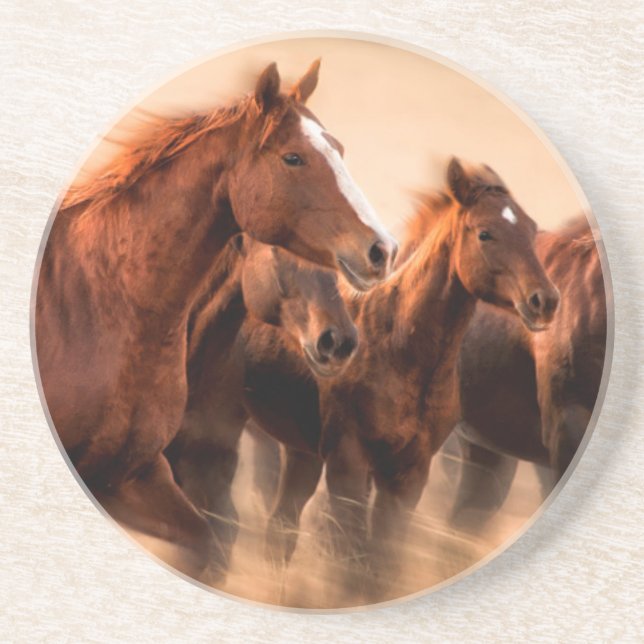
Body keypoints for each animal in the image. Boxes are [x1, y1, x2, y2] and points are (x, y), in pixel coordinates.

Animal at [241, 158, 560, 600]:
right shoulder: (349, 462)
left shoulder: (409, 472)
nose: (544, 301)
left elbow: (382, 558)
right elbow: (350, 557)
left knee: (279, 528)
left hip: (299, 452)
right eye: (485, 232)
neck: (399, 352)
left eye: (530, 229)